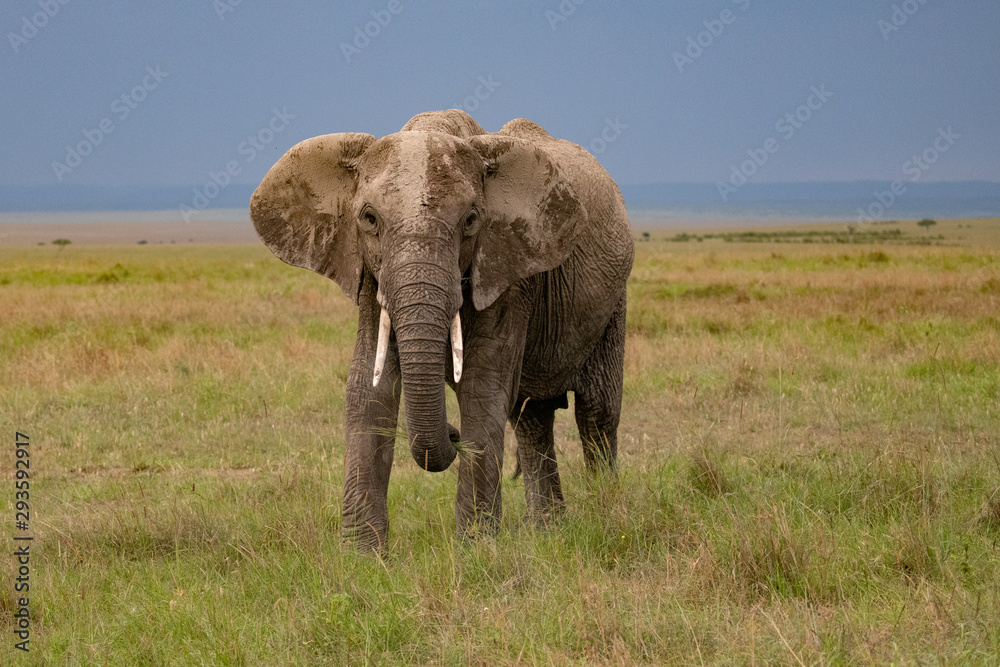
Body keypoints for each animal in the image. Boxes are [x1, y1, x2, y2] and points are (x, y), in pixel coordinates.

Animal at [254, 108, 636, 548]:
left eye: (471, 220)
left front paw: (476, 549)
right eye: (369, 218)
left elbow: (481, 389)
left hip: (614, 302)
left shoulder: (507, 269)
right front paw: (361, 554)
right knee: (531, 419)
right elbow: (368, 388)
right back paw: (548, 531)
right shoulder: (370, 271)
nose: (452, 435)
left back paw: (605, 517)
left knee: (596, 415)